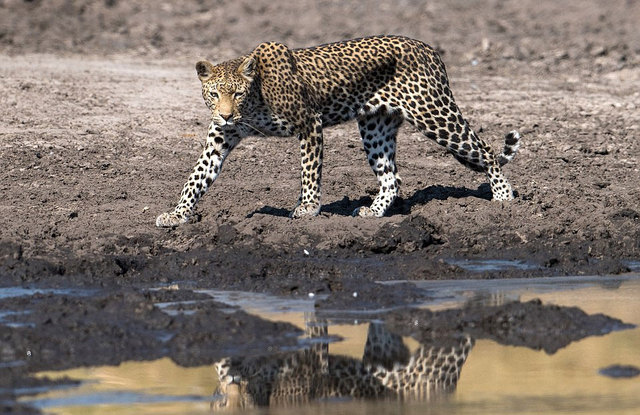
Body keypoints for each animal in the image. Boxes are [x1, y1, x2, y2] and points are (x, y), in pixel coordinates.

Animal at [156, 35, 520, 228]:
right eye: (214, 94)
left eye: (238, 93)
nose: (226, 114)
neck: (255, 101)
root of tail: (430, 49)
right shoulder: (220, 139)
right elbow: (196, 177)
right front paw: (177, 214)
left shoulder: (309, 122)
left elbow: (309, 171)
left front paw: (307, 208)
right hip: (375, 127)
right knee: (392, 177)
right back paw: (373, 212)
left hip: (434, 114)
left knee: (486, 151)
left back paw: (504, 198)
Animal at [212, 320, 472, 412]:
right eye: (221, 405)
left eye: (245, 403)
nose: (233, 382)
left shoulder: (315, 360)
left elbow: (317, 329)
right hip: (384, 354)